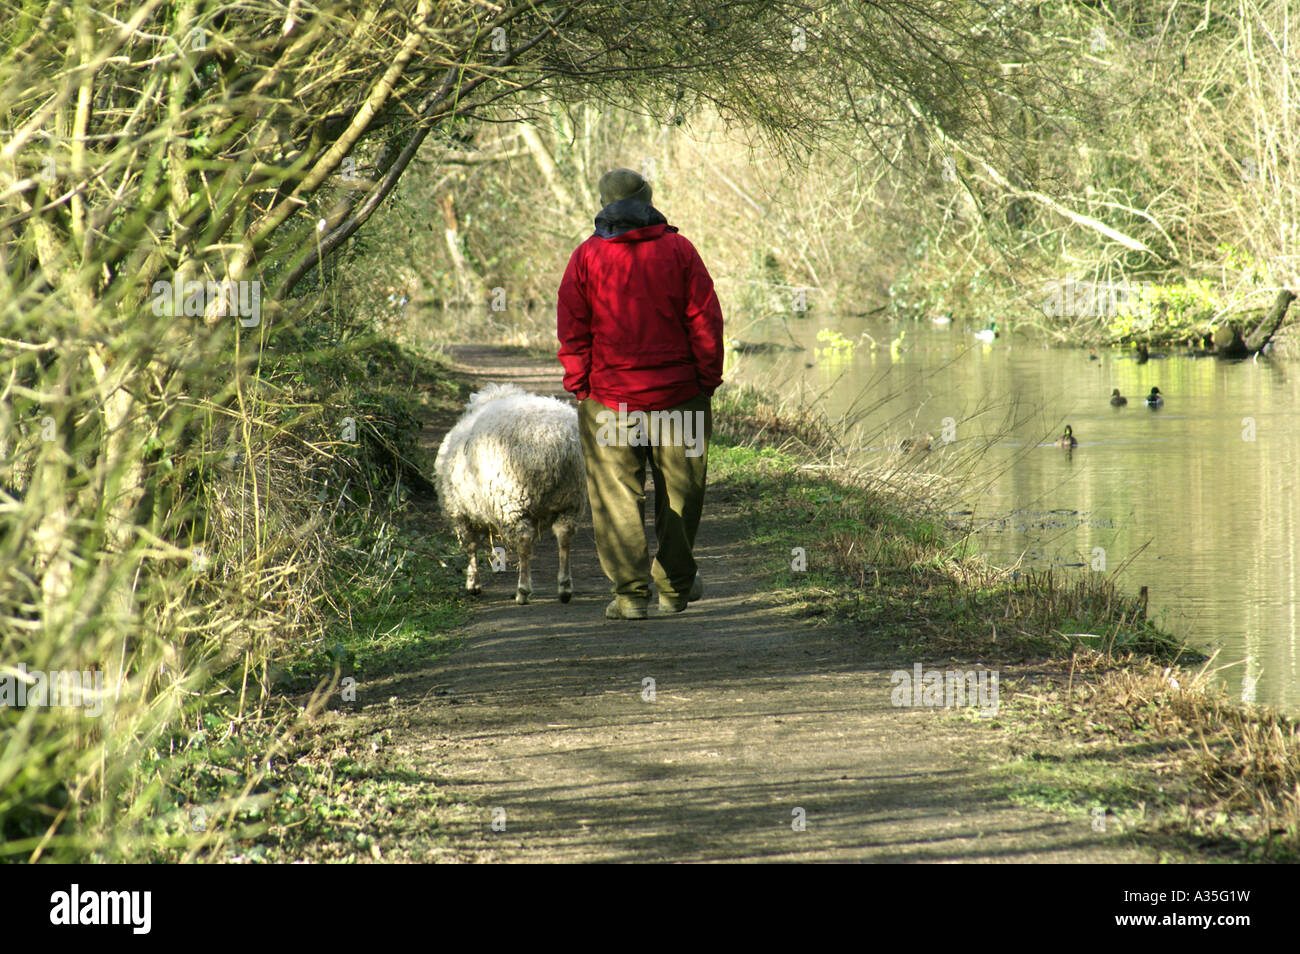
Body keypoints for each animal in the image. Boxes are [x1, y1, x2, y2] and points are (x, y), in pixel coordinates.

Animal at [436, 382, 585, 600]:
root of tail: (557, 439)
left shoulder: (460, 513)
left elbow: (471, 547)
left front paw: (473, 584)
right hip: (571, 498)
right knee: (564, 535)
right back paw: (565, 587)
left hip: (511, 500)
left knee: (524, 540)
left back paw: (523, 590)